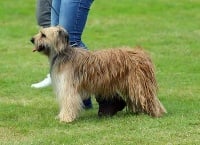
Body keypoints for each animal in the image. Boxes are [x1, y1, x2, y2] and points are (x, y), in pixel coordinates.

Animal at [30, 25, 166, 122]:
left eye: (43, 35)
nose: (31, 39)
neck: (62, 54)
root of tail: (142, 53)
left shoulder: (68, 87)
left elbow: (68, 101)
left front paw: (65, 118)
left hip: (139, 84)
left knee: (150, 99)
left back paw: (156, 113)